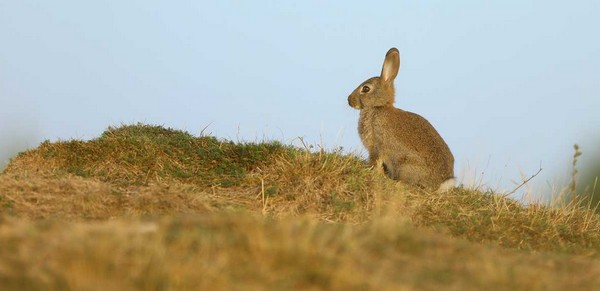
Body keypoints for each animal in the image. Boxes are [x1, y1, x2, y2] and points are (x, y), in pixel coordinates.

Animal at [346, 48, 454, 194]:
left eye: (366, 89)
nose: (349, 99)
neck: (379, 107)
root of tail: (441, 184)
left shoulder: (377, 145)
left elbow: (376, 160)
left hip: (406, 165)